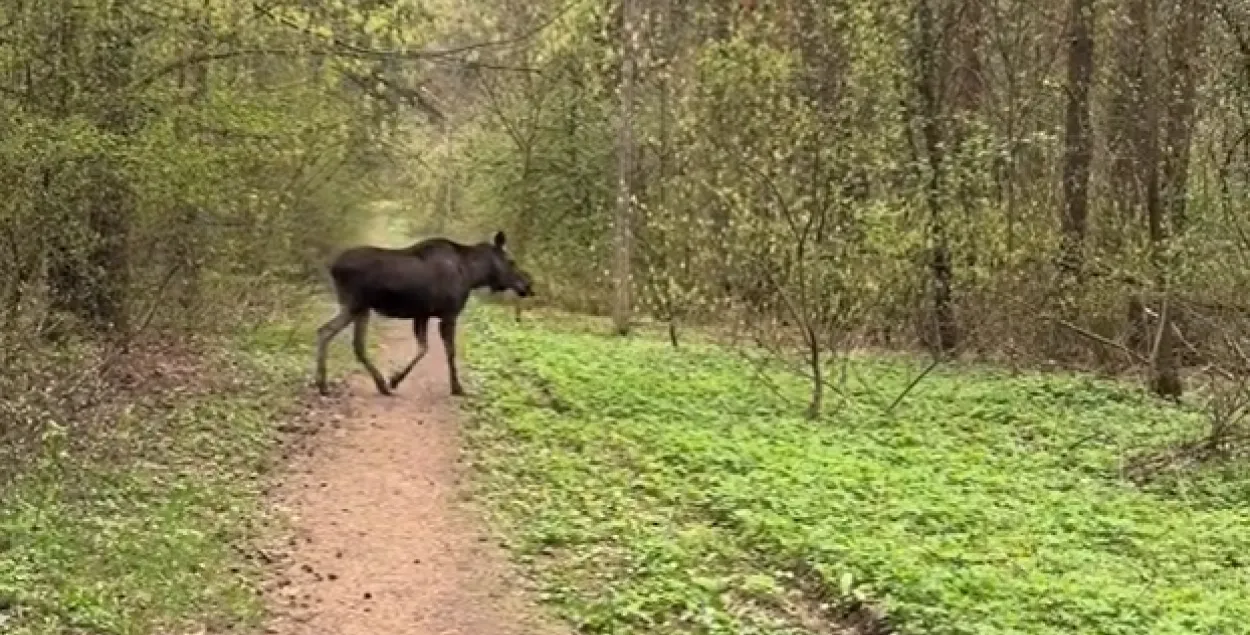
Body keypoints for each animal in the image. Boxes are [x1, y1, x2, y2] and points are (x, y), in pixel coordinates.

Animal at [315, 228, 535, 397]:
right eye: (511, 261)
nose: (528, 285)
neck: (473, 275)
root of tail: (332, 267)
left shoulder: (422, 314)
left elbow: (423, 348)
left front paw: (395, 379)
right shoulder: (449, 314)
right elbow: (449, 351)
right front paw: (457, 388)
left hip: (362, 308)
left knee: (351, 342)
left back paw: (377, 385)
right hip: (355, 304)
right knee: (327, 332)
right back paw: (325, 384)